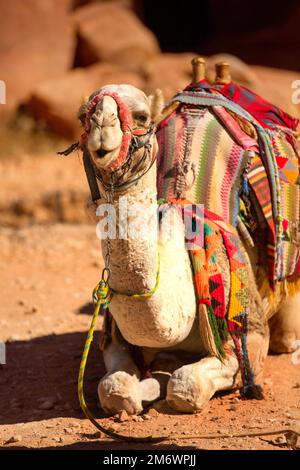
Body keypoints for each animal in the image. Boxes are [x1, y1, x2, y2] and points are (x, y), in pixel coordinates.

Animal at [75, 71, 300, 414]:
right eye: (84, 116)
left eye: (141, 116)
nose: (103, 129)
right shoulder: (114, 338)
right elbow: (113, 389)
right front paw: (149, 382)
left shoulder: (247, 334)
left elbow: (186, 385)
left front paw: (163, 380)